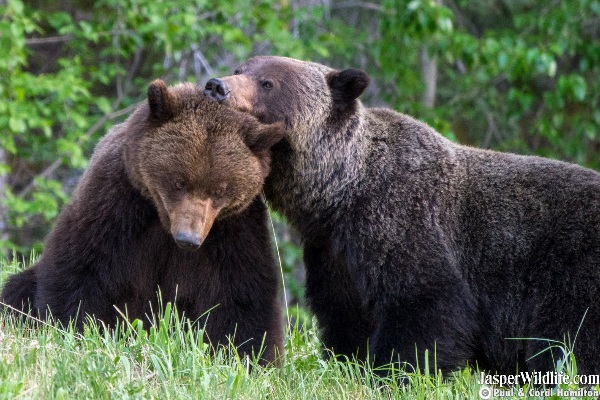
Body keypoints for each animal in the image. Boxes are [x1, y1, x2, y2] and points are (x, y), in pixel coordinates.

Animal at [2, 79, 284, 364]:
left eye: (219, 190)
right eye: (178, 182)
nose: (188, 238)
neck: (162, 218)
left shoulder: (232, 228)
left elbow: (242, 292)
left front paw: (248, 355)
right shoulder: (117, 201)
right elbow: (80, 265)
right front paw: (72, 328)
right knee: (18, 286)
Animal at [205, 56, 600, 376]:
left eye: (268, 82)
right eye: (240, 68)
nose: (216, 85)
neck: (339, 195)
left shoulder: (402, 221)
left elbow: (424, 304)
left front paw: (396, 372)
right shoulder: (333, 253)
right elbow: (345, 315)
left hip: (569, 272)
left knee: (572, 340)